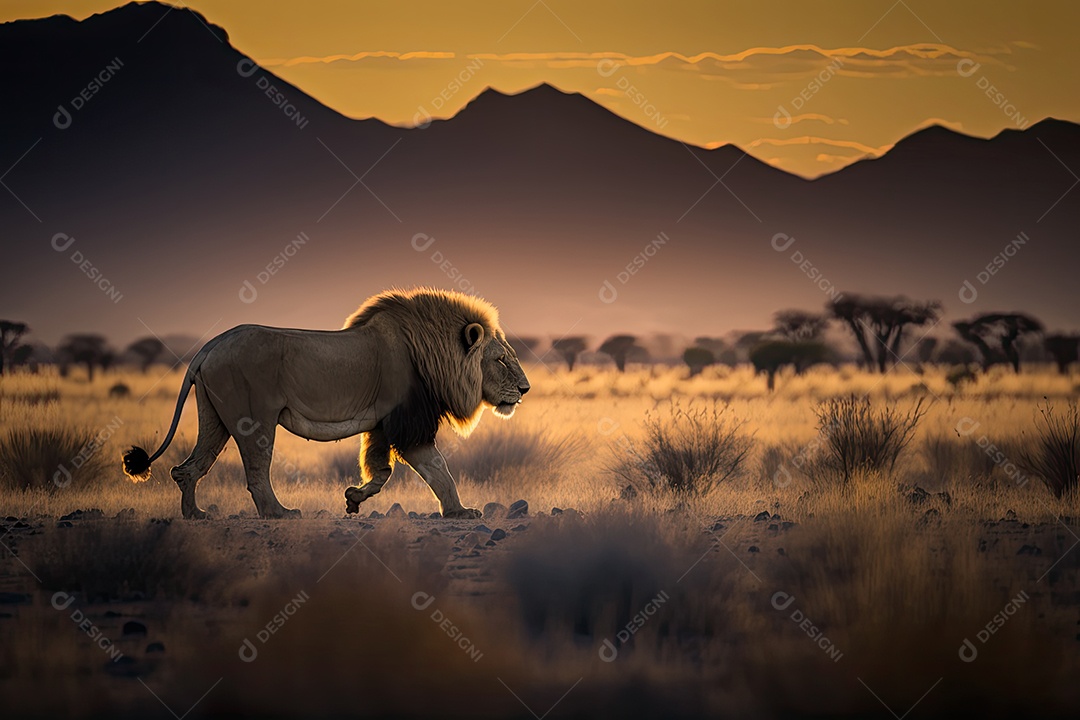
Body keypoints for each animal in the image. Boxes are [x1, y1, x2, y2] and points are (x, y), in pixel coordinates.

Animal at [121, 288, 530, 520]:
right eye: (500, 359)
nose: (525, 389)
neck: (434, 354)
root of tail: (209, 345)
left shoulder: (382, 423)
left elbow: (382, 471)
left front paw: (353, 499)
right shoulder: (408, 422)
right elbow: (438, 469)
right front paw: (459, 512)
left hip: (215, 416)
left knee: (188, 468)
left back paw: (195, 515)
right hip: (254, 418)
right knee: (256, 473)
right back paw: (279, 513)